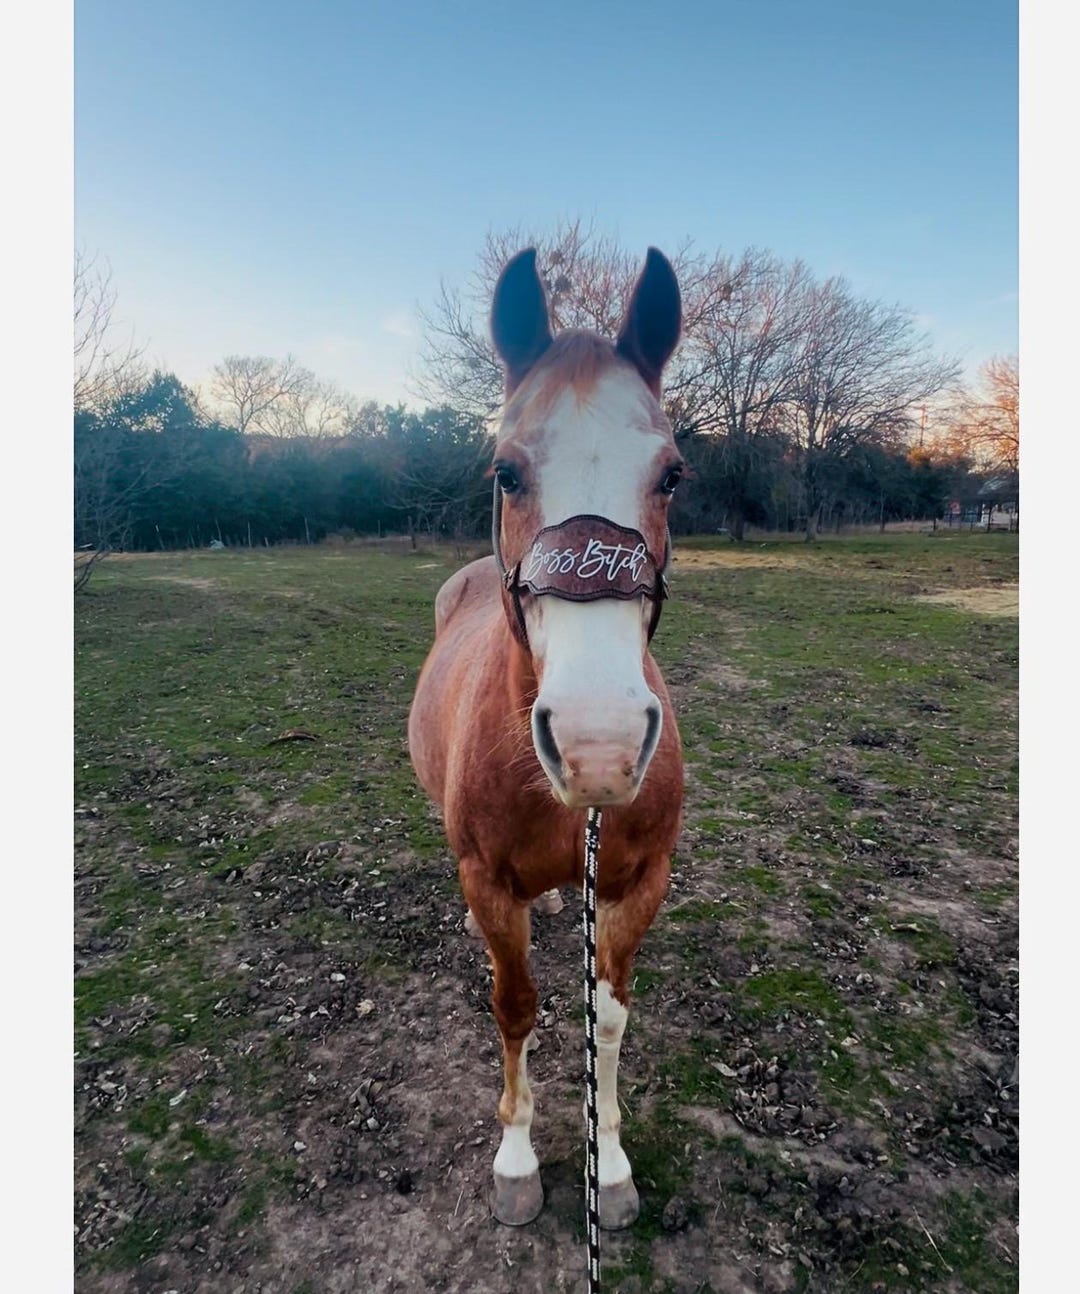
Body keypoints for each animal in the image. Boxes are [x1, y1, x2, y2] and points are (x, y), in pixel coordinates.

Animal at [408, 246, 685, 1230]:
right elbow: (516, 1006)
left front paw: (613, 1166)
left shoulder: (640, 887)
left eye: (672, 474)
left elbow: (608, 1017)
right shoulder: (493, 888)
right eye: (506, 472)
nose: (599, 742)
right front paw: (518, 1160)